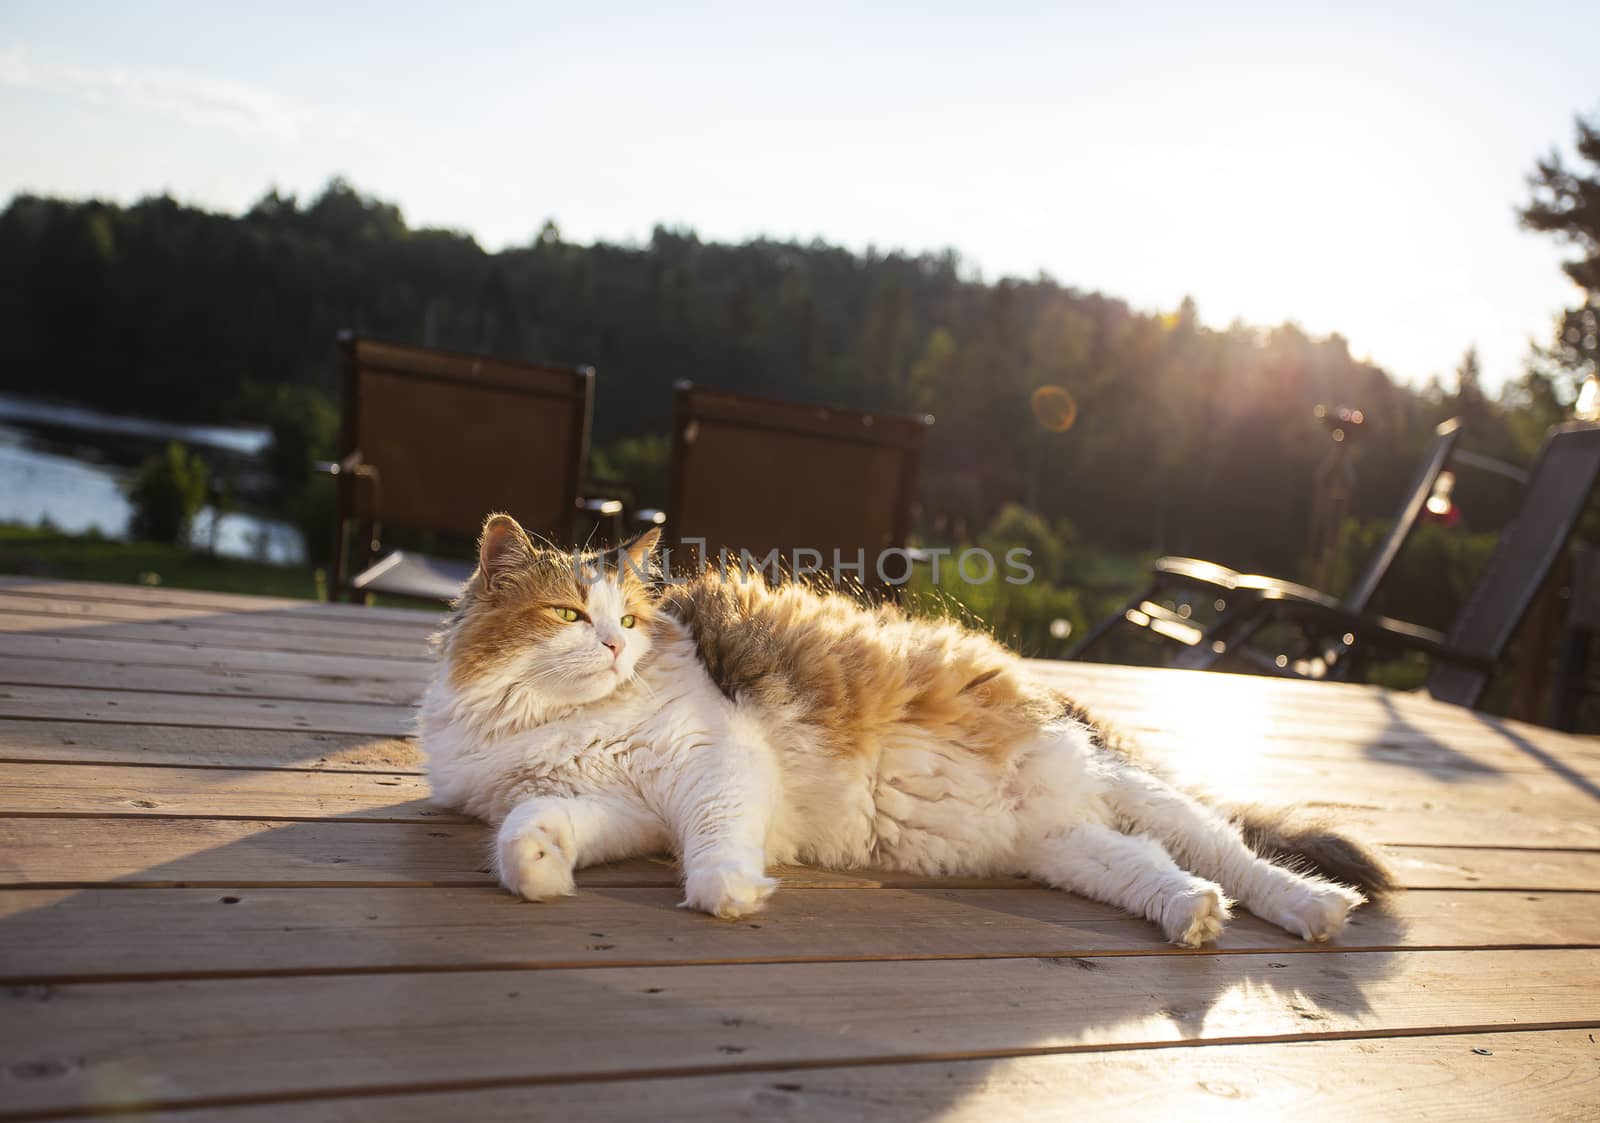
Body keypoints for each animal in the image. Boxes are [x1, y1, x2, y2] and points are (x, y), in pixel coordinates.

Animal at [419, 515, 1395, 947]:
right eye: (568, 613)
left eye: (627, 614)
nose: (617, 644)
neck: (548, 726)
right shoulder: (617, 804)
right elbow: (534, 829)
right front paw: (539, 870)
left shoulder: (714, 762)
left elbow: (718, 844)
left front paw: (732, 894)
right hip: (1073, 848)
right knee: (1167, 876)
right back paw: (1193, 918)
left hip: (1135, 793)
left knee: (1240, 857)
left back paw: (1312, 910)